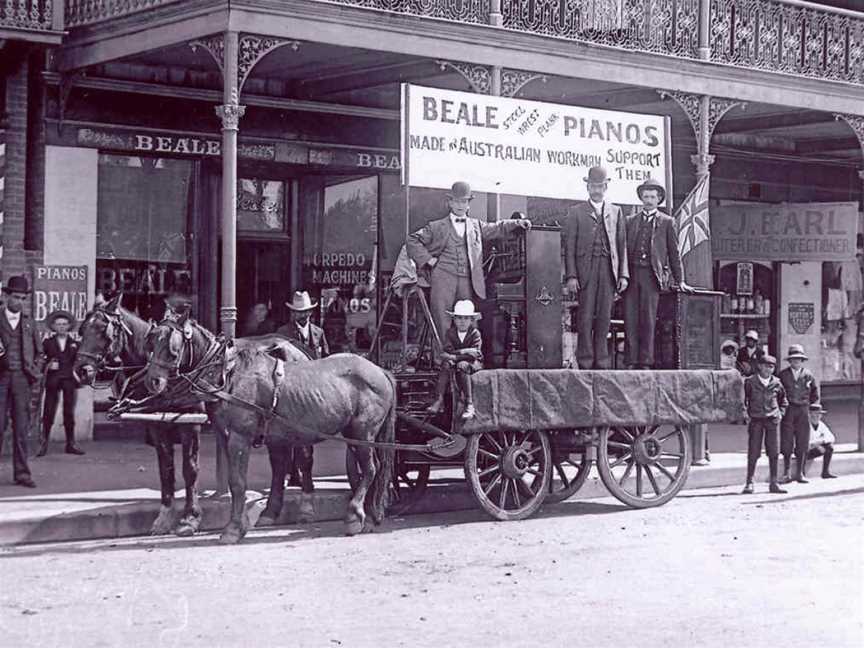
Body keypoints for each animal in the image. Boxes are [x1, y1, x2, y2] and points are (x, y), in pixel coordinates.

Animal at [76, 296, 316, 536]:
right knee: (279, 460)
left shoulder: (190, 423)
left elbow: (189, 469)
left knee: (304, 457)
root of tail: (296, 347)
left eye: (104, 331)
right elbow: (166, 470)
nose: (81, 370)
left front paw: (189, 518)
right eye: (82, 329)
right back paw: (271, 512)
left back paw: (306, 505)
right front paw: (165, 517)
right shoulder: (157, 425)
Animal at [143, 312, 398, 540]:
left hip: (362, 432)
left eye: (172, 346)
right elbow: (235, 481)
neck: (228, 374)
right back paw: (371, 516)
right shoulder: (225, 436)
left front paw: (233, 530)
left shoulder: (240, 436)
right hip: (354, 434)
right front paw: (241, 524)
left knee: (371, 469)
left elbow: (237, 482)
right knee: (374, 469)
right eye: (151, 342)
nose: (152, 381)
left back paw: (355, 516)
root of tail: (381, 371)